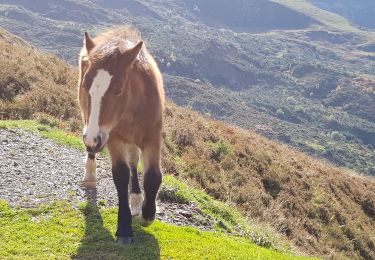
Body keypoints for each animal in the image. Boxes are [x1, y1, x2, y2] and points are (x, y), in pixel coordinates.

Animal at [77, 26, 164, 244]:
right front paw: (124, 228)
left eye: (118, 90)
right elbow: (120, 174)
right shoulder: (112, 137)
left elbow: (153, 176)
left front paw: (147, 215)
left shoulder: (153, 136)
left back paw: (136, 199)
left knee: (133, 161)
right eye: (85, 86)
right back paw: (90, 175)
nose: (92, 139)